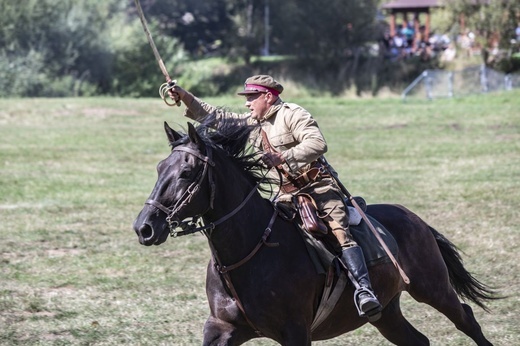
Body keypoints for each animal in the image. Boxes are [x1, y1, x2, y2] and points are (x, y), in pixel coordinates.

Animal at [133, 117, 496, 346]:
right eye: (160, 168)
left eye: (186, 172)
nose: (144, 227)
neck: (252, 251)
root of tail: (414, 219)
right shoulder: (221, 329)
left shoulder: (295, 333)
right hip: (387, 313)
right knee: (418, 340)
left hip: (432, 289)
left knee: (466, 319)